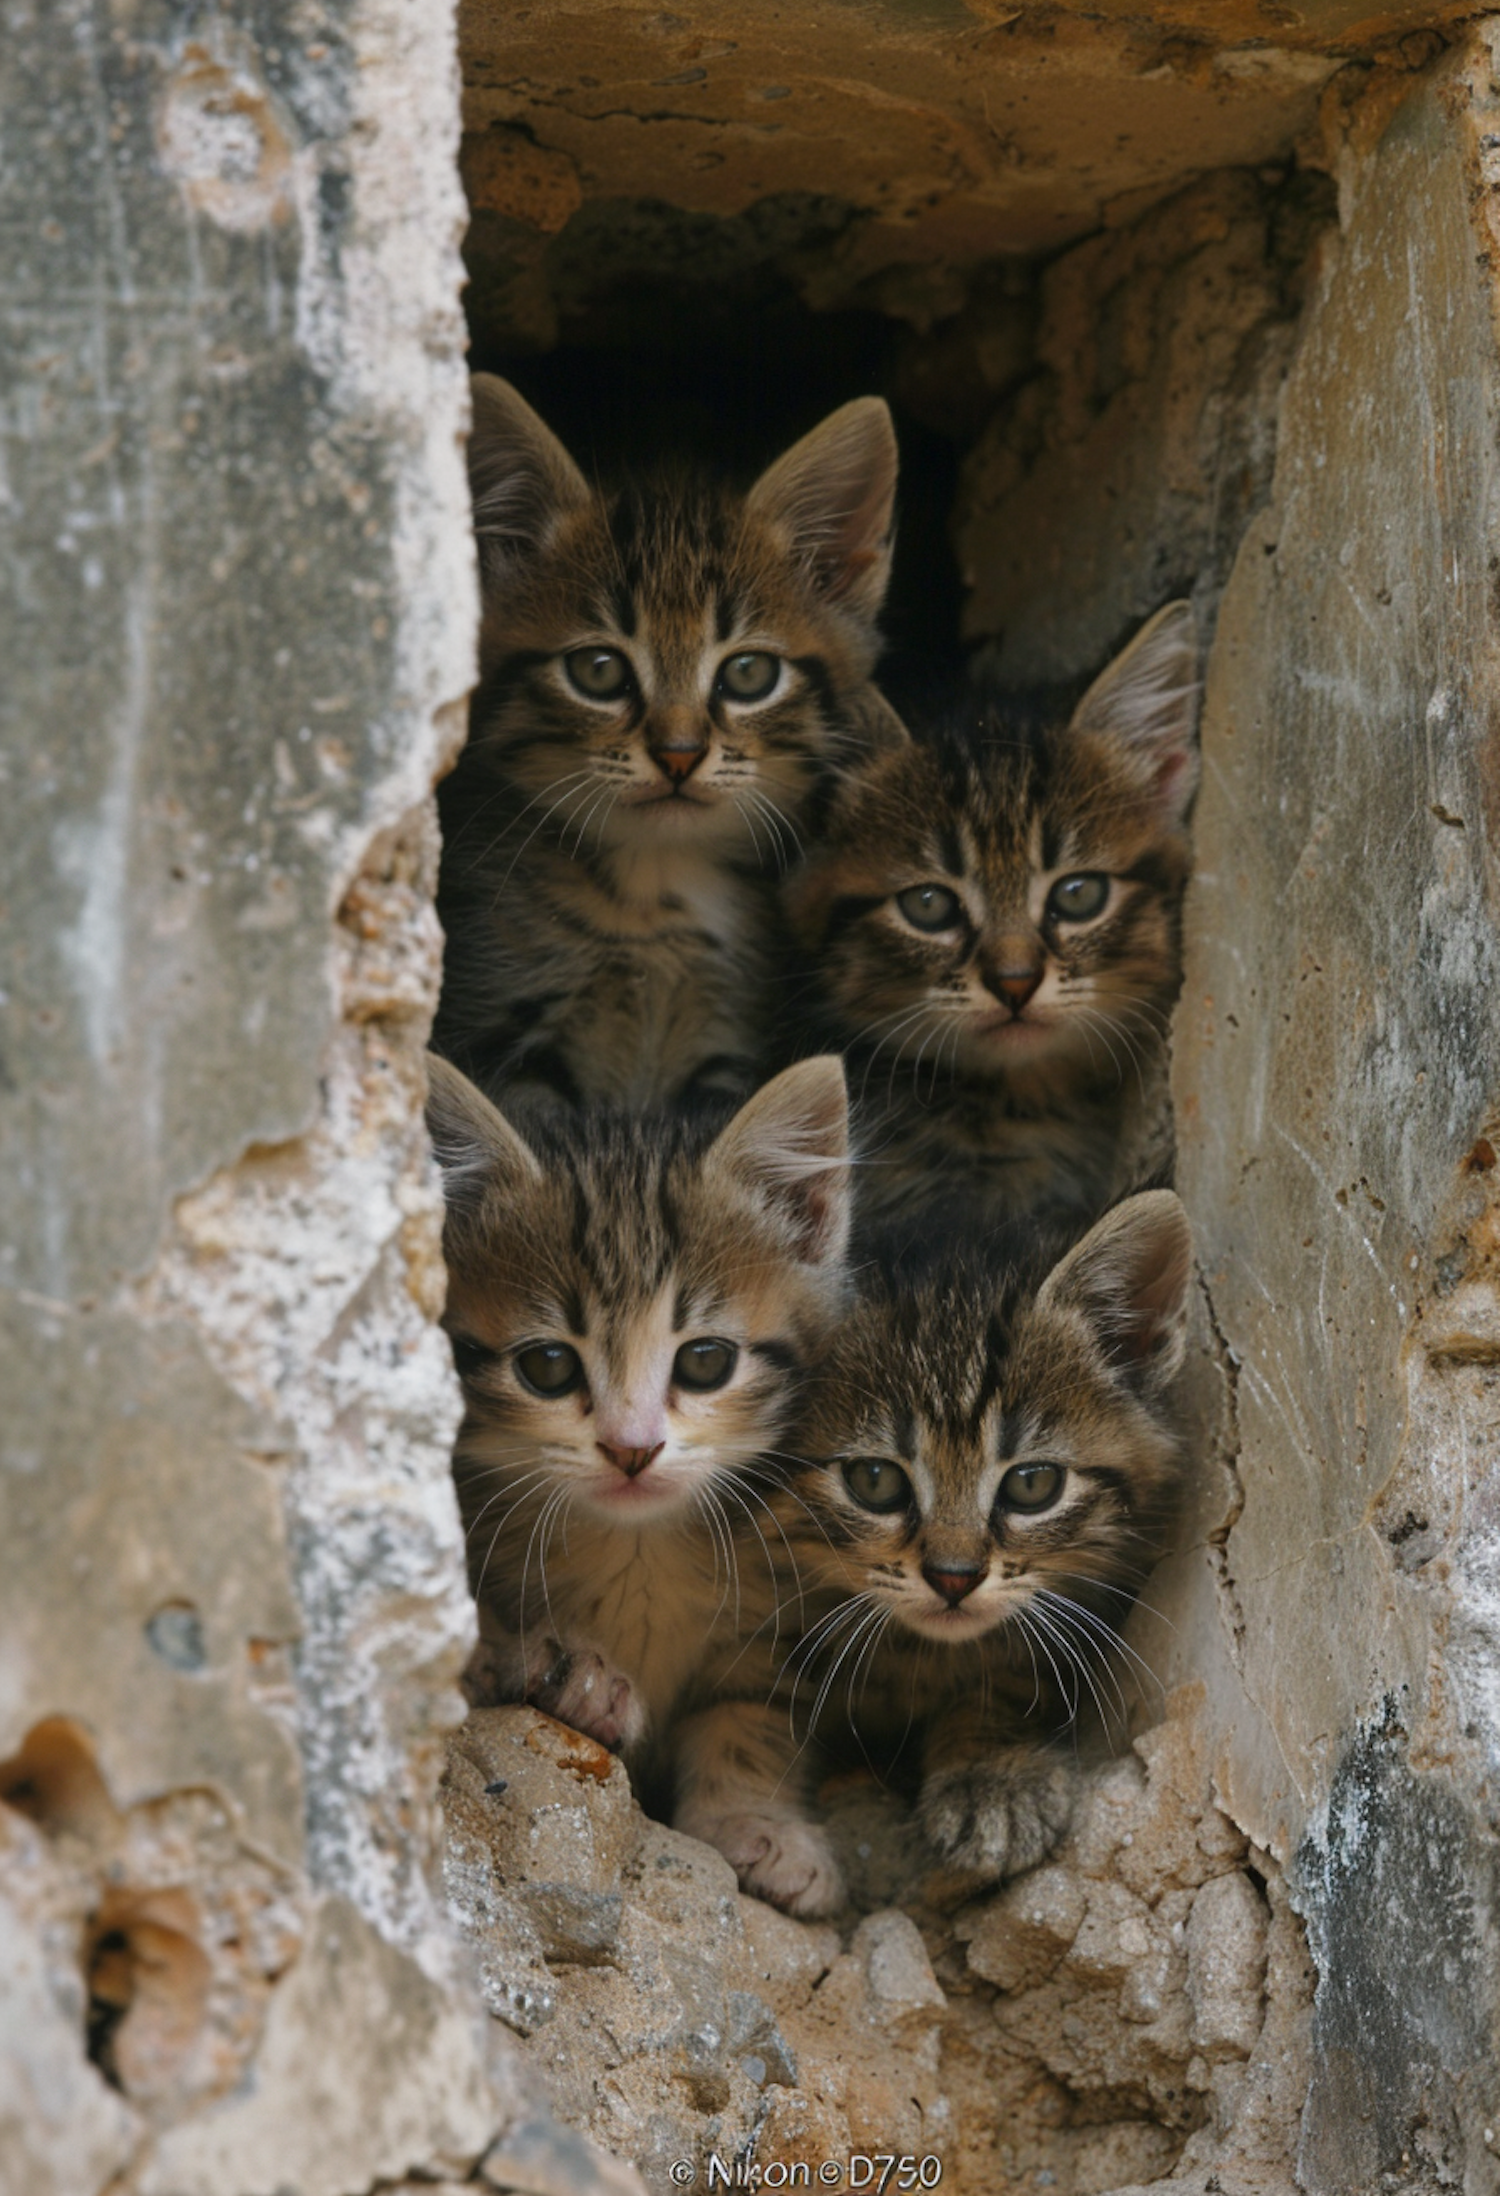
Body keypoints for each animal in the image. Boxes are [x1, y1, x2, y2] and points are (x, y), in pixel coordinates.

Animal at [428, 1054, 852, 1756]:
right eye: (548, 1367)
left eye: (706, 1361)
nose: (632, 1448)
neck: (637, 1547)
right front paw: (574, 1679)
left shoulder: (765, 1660)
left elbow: (744, 1744)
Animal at [434, 375, 904, 1115]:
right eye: (598, 670)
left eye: (749, 673)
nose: (679, 754)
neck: (655, 892)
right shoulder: (502, 1016)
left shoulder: (726, 1041)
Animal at [676, 1185, 1194, 1923]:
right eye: (874, 1480)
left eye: (1033, 1484)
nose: (954, 1578)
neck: (910, 1656)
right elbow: (743, 1709)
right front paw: (759, 1825)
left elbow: (1014, 1666)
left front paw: (992, 1773)